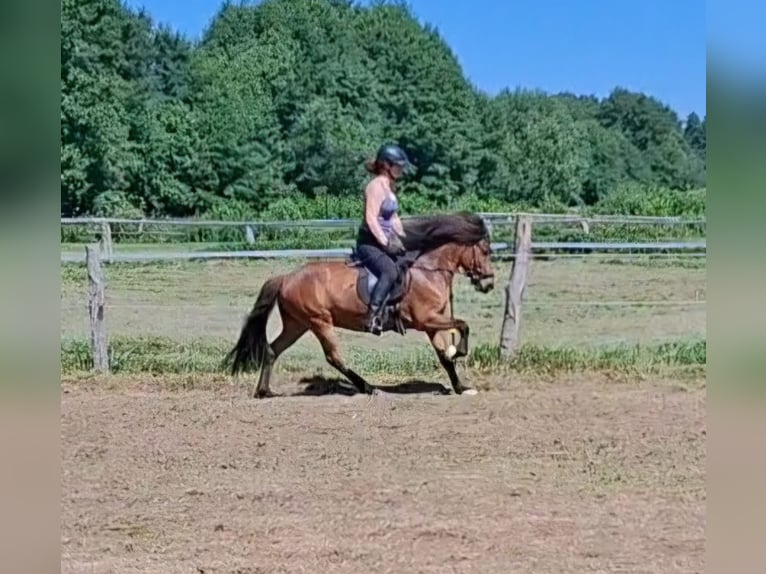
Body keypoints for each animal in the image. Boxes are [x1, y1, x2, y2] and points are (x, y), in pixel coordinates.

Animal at [224, 212, 496, 397]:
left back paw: (264, 391)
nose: (489, 283)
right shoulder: (426, 319)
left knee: (272, 350)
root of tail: (286, 277)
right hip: (319, 321)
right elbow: (463, 326)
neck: (428, 272)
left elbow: (444, 356)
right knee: (334, 357)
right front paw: (458, 352)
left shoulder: (432, 324)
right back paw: (368, 387)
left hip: (297, 324)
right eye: (485, 251)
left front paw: (461, 386)